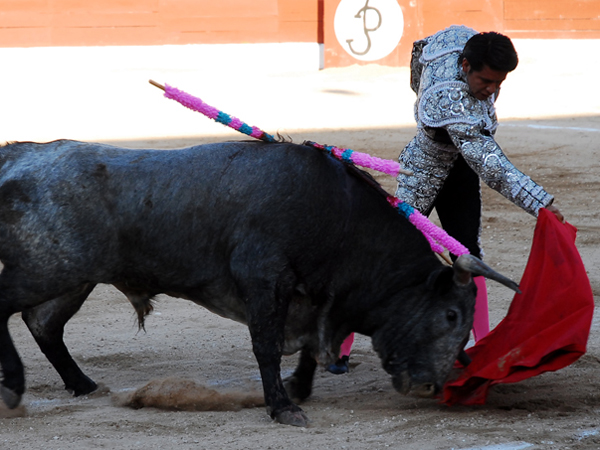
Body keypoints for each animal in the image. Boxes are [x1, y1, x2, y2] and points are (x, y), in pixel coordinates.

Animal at [0, 140, 516, 426]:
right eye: (450, 315)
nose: (430, 386)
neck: (339, 220)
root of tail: (21, 154)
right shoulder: (265, 279)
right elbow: (266, 347)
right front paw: (284, 408)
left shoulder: (313, 298)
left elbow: (307, 350)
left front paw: (298, 389)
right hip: (51, 267)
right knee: (13, 311)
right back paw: (14, 390)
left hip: (71, 276)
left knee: (43, 324)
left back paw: (82, 385)